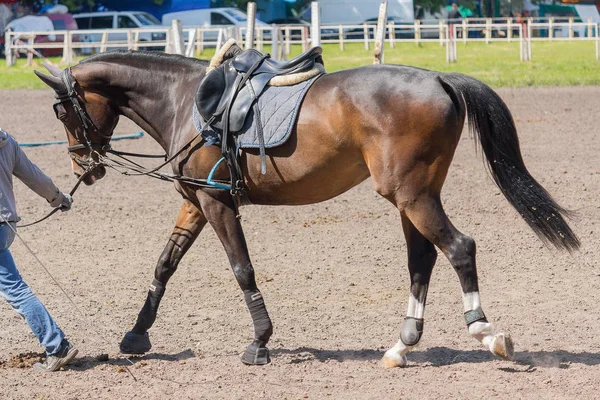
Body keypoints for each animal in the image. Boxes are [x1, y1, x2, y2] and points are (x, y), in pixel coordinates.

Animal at [35, 48, 580, 368]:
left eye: (61, 110)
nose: (84, 166)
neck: (185, 100)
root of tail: (439, 79)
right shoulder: (195, 201)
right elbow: (164, 266)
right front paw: (136, 335)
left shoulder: (216, 201)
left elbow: (242, 269)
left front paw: (260, 341)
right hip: (414, 196)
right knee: (422, 259)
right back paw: (402, 345)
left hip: (411, 195)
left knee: (459, 247)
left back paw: (486, 333)